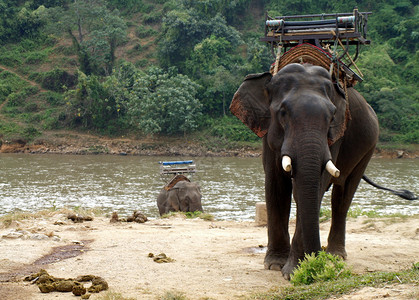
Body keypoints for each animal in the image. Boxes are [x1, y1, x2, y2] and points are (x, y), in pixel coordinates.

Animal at [231, 62, 382, 280]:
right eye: (283, 112)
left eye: (332, 116)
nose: (317, 260)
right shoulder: (268, 134)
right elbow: (276, 185)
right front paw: (275, 265)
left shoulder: (335, 137)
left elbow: (316, 186)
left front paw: (293, 271)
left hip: (368, 150)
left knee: (343, 196)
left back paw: (335, 255)